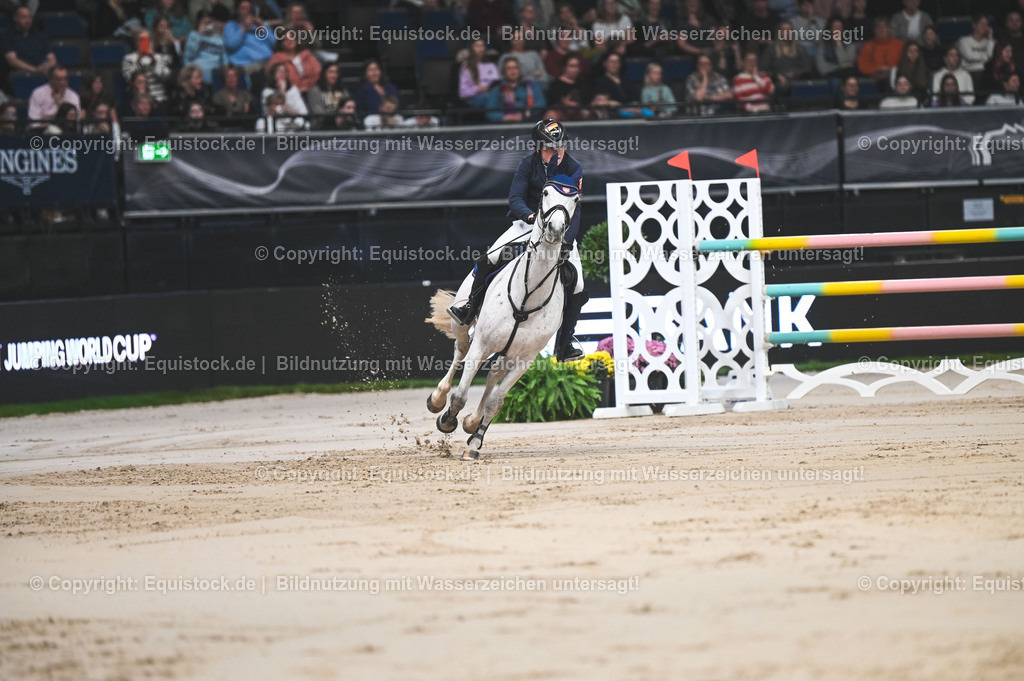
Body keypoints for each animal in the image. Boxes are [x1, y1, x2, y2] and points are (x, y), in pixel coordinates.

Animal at [425, 177, 581, 461]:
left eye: (575, 199)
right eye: (545, 192)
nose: (555, 230)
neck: (528, 294)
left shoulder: (525, 359)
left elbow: (496, 401)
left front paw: (475, 442)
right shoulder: (482, 344)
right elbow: (460, 394)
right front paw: (447, 420)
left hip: (508, 352)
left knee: (493, 376)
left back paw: (472, 422)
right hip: (464, 329)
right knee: (459, 352)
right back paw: (437, 399)